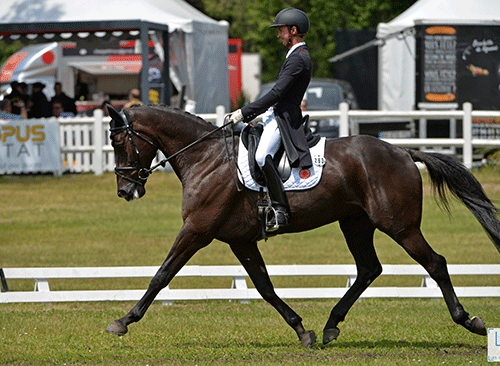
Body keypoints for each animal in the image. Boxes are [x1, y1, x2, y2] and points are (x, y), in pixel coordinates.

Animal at [103, 104, 498, 348]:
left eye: (119, 141)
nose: (125, 190)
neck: (206, 157)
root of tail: (403, 152)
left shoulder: (197, 230)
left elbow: (161, 275)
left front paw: (123, 321)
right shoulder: (240, 241)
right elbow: (264, 287)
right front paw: (301, 329)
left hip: (399, 226)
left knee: (435, 263)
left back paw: (469, 320)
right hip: (355, 223)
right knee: (369, 268)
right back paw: (330, 325)